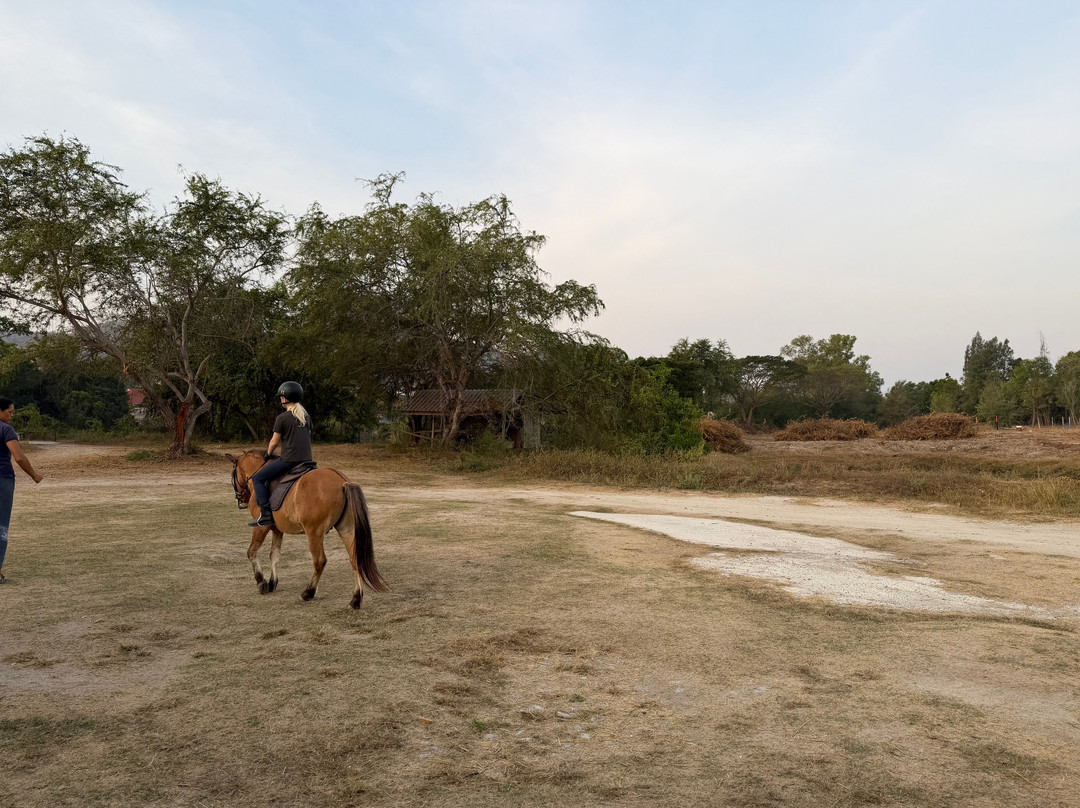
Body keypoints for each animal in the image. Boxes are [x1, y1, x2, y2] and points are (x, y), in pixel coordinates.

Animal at [226, 450, 387, 609]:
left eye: (233, 473)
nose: (240, 500)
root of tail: (343, 481)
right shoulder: (277, 530)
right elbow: (274, 556)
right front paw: (272, 582)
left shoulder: (262, 528)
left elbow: (251, 552)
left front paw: (261, 582)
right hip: (346, 529)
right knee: (355, 559)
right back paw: (356, 599)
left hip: (314, 534)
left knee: (320, 561)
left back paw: (308, 592)